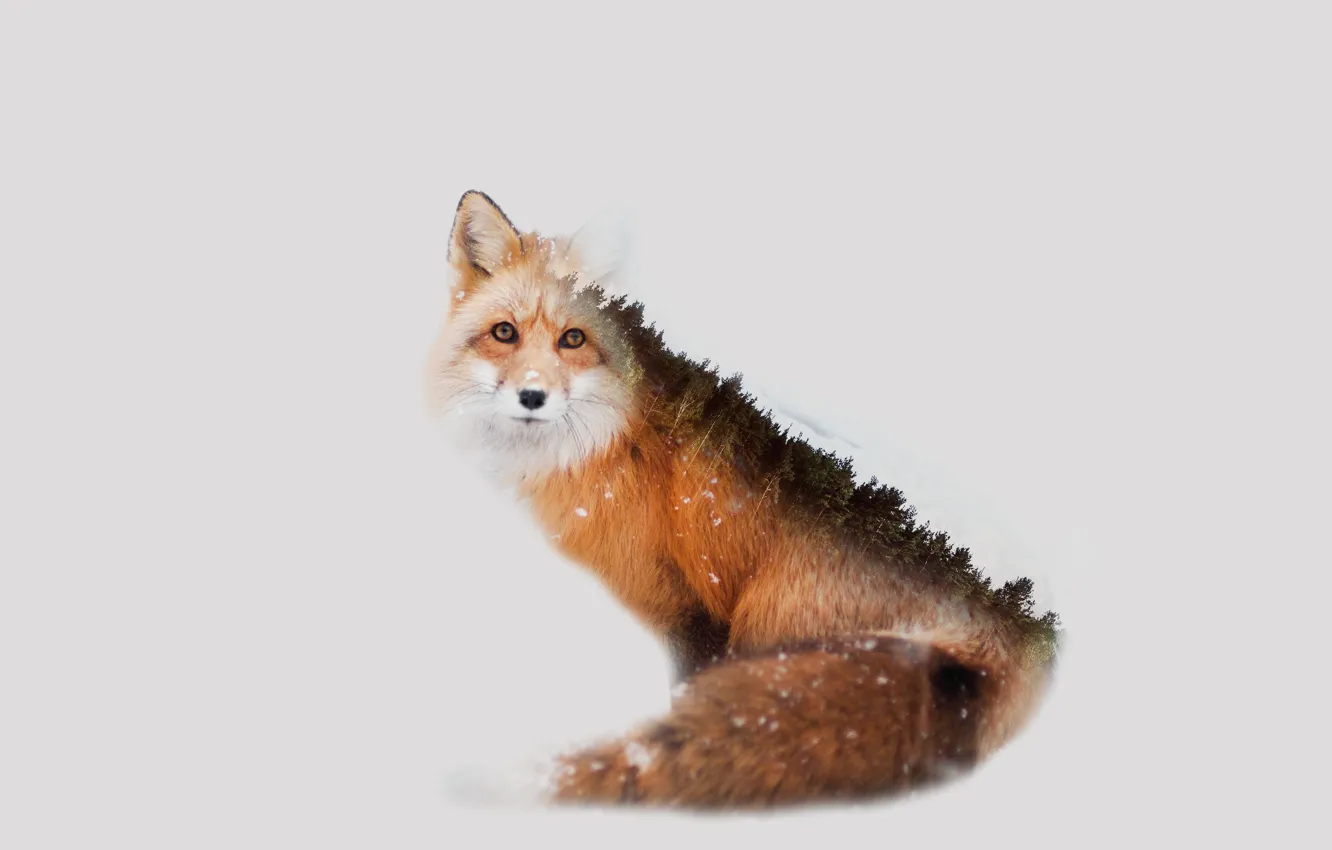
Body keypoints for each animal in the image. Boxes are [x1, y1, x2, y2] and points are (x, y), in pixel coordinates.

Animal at [427, 190, 1059, 808]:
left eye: (573, 339)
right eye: (504, 332)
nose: (532, 396)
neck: (599, 449)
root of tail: (1018, 622)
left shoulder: (679, 606)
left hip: (769, 609)